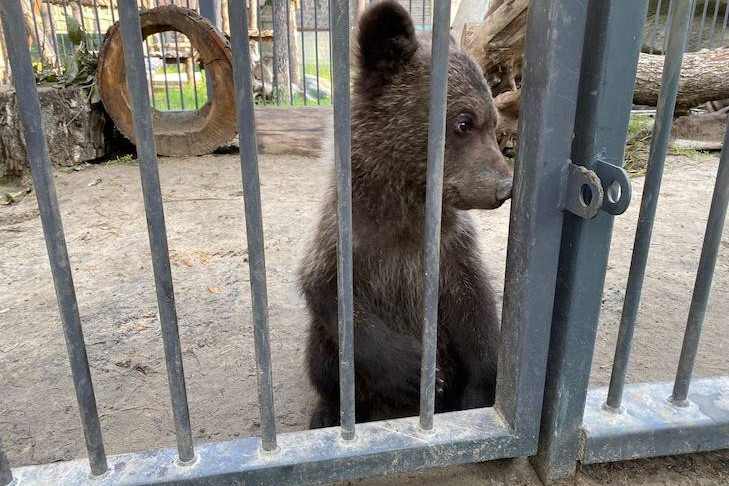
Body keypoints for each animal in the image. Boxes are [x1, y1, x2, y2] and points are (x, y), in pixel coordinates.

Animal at [298, 0, 516, 428]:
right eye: (463, 122)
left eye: (495, 123)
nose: (504, 188)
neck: (404, 204)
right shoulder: (346, 233)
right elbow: (329, 292)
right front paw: (414, 371)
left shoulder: (452, 246)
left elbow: (476, 309)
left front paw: (475, 394)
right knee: (323, 359)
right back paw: (329, 411)